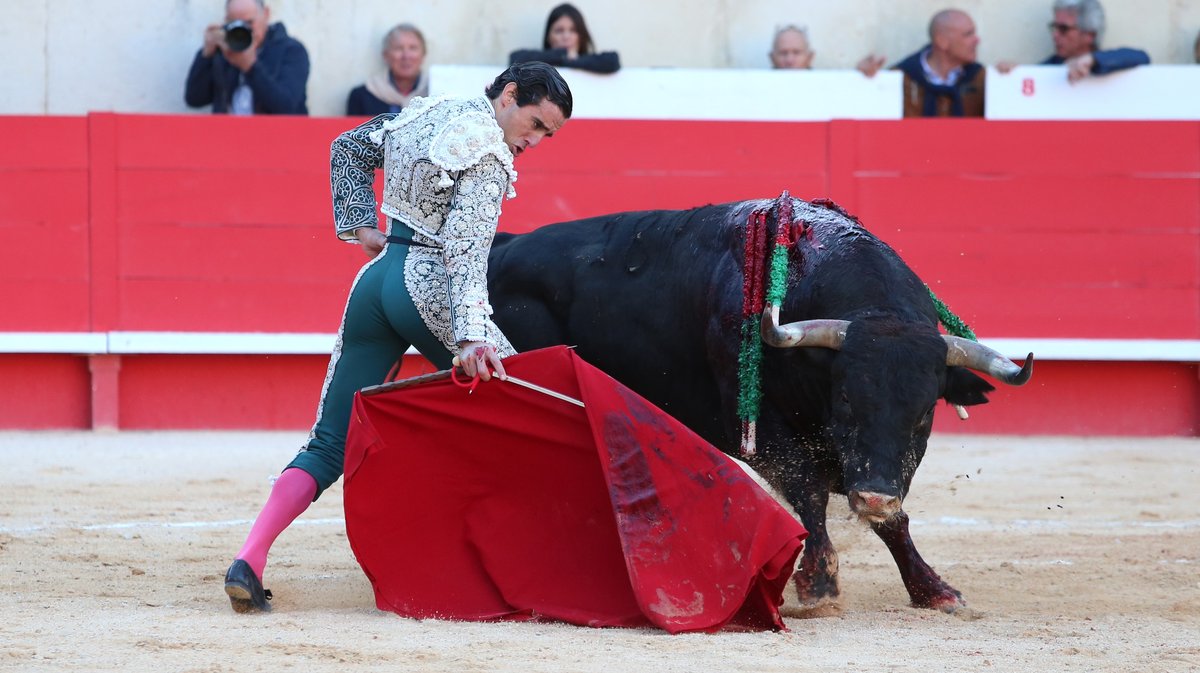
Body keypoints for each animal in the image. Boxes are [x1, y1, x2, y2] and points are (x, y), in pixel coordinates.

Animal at [484, 194, 1032, 609]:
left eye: (925, 412)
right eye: (846, 398)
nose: (873, 495)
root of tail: (505, 246)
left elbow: (894, 521)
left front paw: (934, 589)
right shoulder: (761, 432)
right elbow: (809, 494)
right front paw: (817, 585)